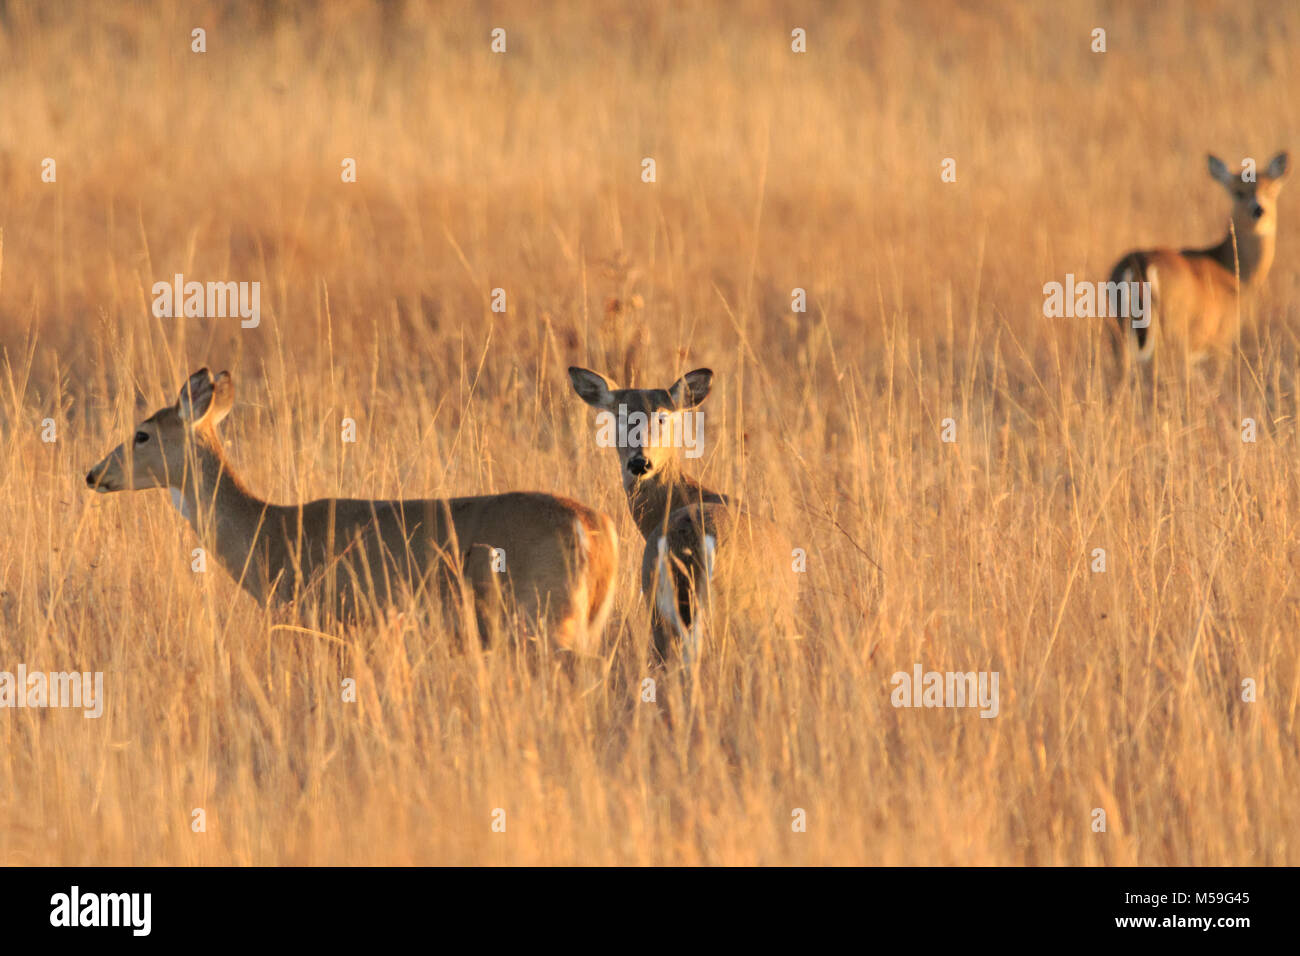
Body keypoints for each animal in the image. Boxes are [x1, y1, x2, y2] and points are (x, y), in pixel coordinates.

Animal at [85, 368, 618, 652]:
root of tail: (594, 527)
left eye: (142, 434)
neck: (270, 533)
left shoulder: (327, 617)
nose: (93, 473)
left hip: (546, 617)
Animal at [1109, 151, 1289, 365]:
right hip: (1174, 334)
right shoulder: (1221, 339)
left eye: (1271, 190)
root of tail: (1140, 264)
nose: (1258, 210)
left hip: (1120, 332)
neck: (1232, 270)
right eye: (1238, 192)